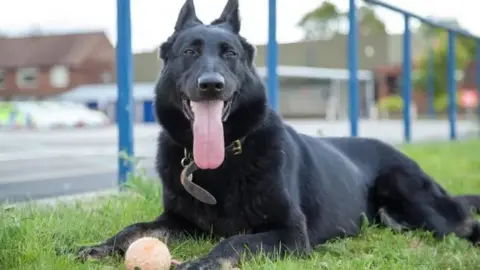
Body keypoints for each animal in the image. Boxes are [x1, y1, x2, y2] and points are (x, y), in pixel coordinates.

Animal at [74, 0, 480, 268]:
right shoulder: (178, 222)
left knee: (463, 224)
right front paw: (100, 246)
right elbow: (133, 229)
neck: (226, 157)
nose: (211, 84)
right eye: (189, 52)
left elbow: (234, 242)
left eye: (230, 54)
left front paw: (204, 262)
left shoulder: (290, 233)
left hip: (411, 196)